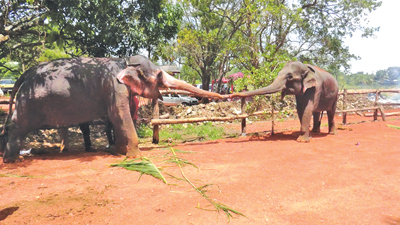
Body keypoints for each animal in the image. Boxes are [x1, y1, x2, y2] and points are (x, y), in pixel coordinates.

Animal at [0, 55, 222, 163]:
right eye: (159, 75)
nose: (221, 96)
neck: (125, 62)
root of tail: (26, 73)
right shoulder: (115, 88)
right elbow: (120, 116)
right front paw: (136, 157)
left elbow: (116, 119)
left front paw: (119, 152)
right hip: (29, 101)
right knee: (18, 126)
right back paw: (13, 160)